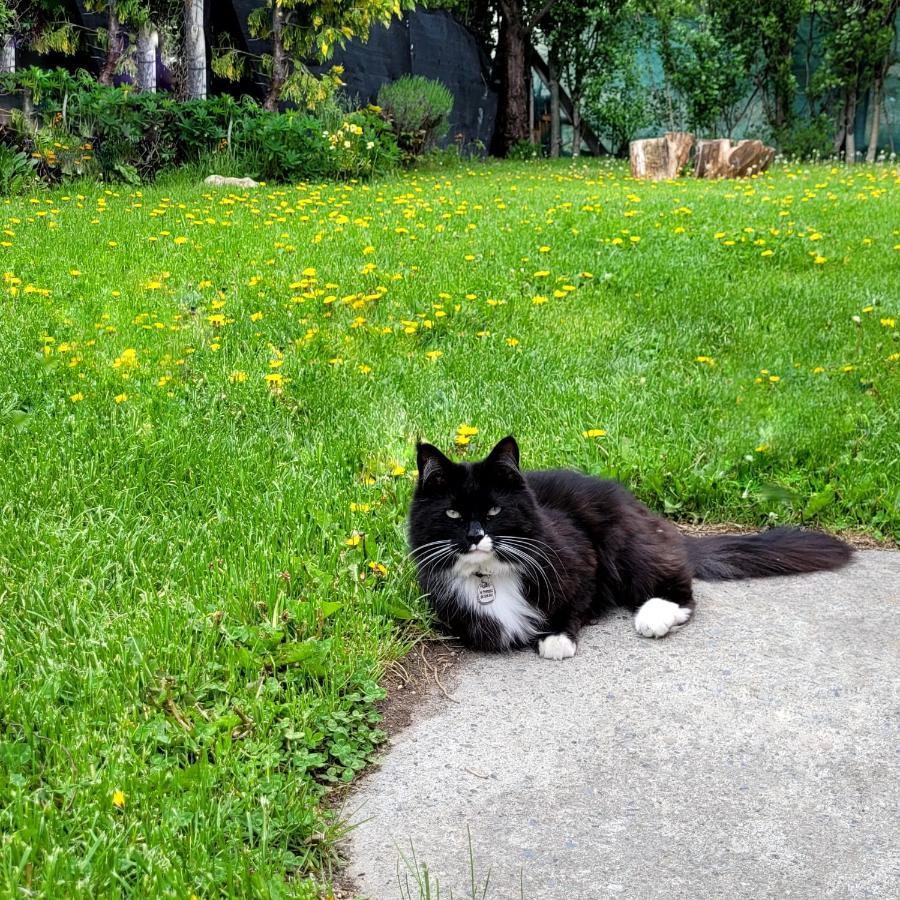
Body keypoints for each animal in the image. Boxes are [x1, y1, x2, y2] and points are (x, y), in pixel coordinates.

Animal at [406, 438, 852, 660]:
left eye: (495, 510)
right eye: (452, 513)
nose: (475, 536)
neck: (489, 577)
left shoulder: (582, 562)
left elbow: (573, 606)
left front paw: (556, 638)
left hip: (624, 542)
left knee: (680, 589)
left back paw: (655, 616)